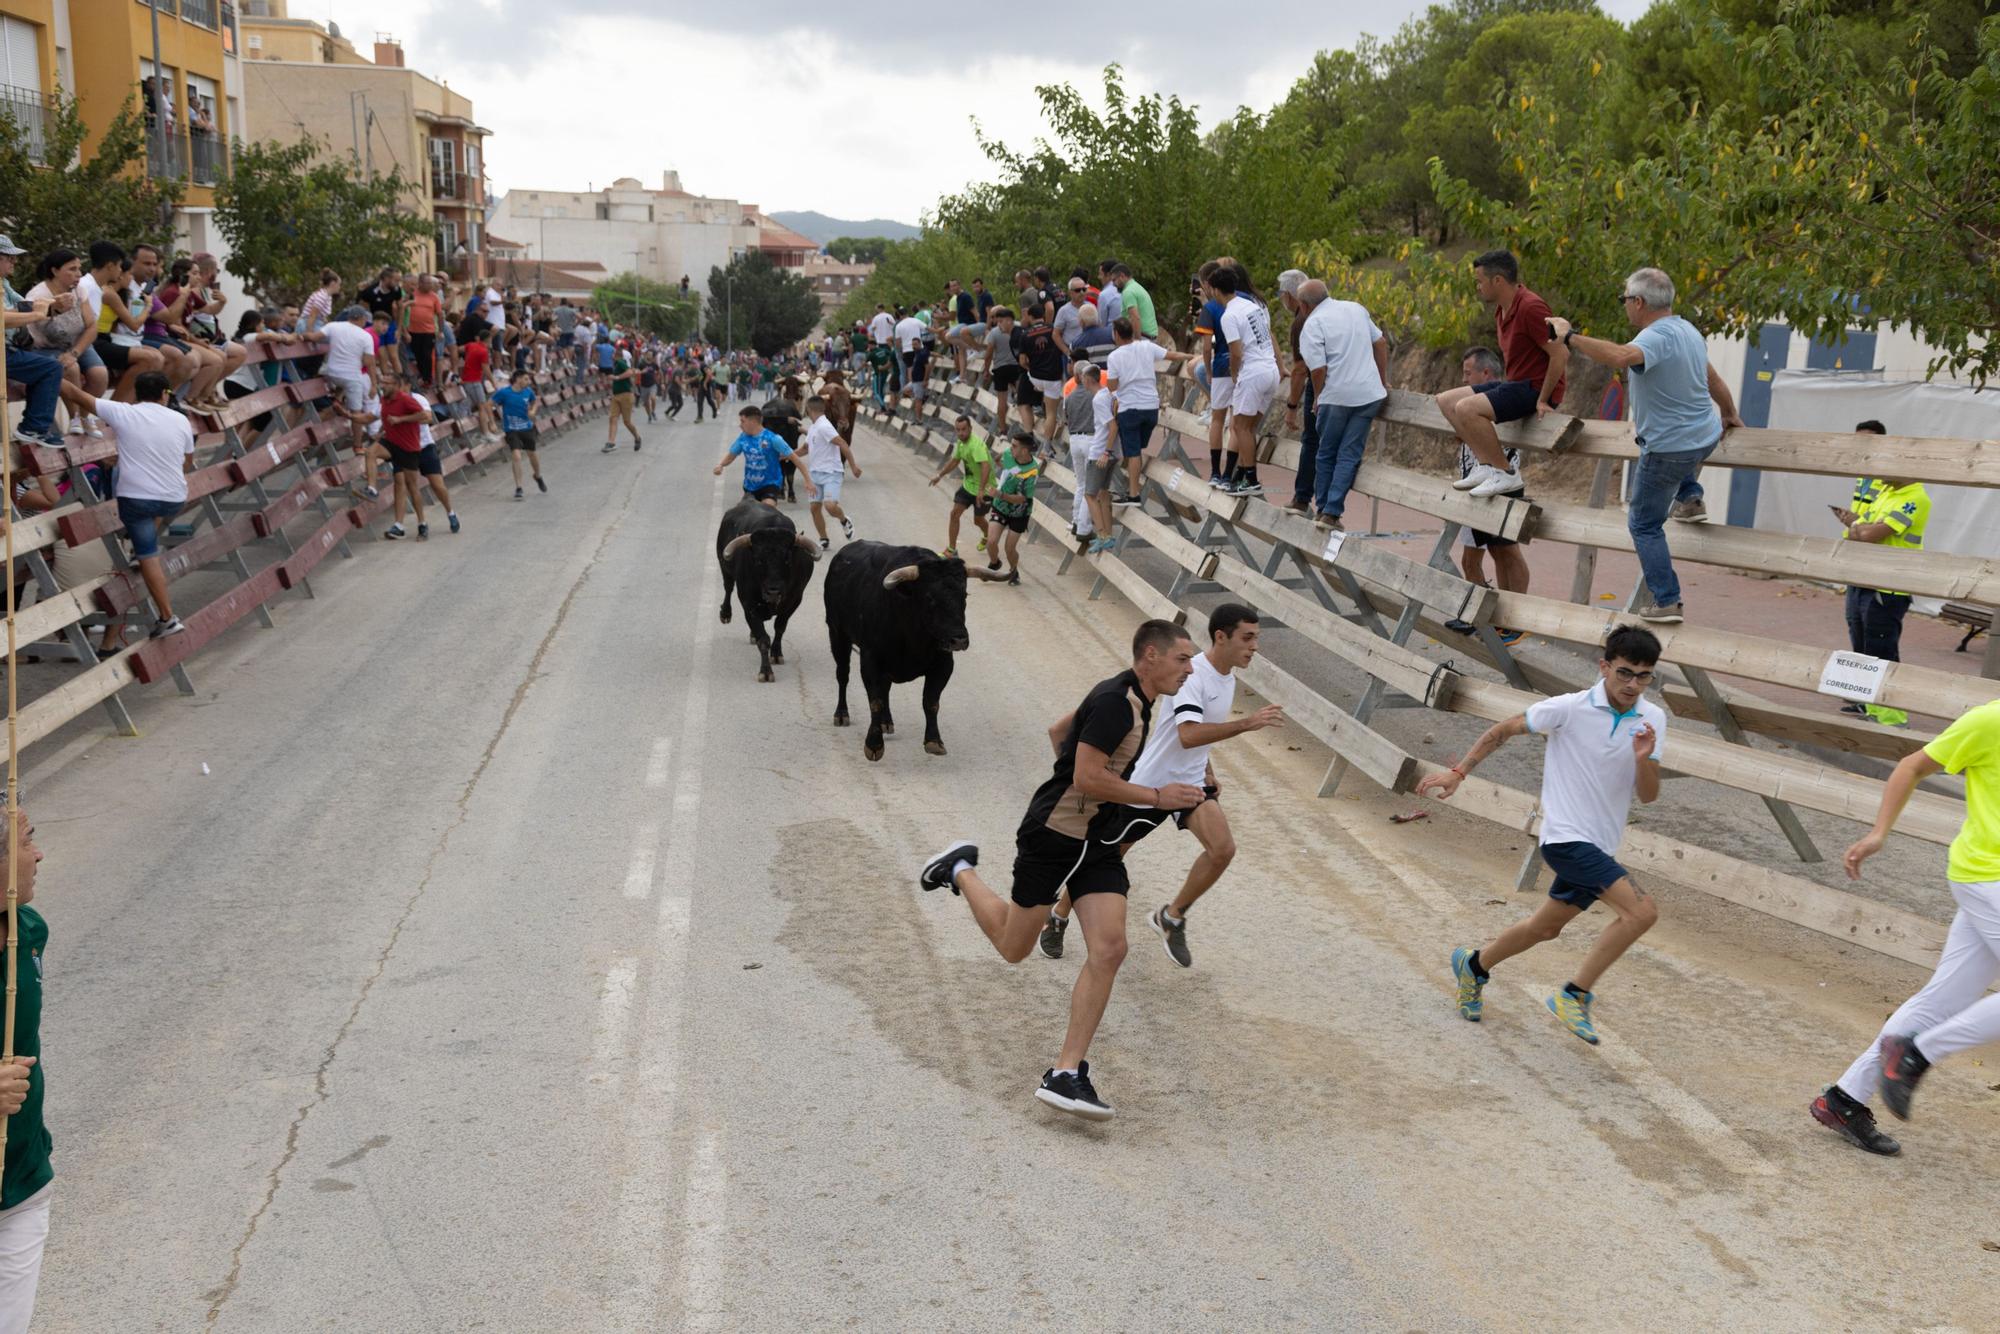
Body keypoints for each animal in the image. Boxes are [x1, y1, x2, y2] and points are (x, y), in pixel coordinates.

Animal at [712, 504, 820, 688]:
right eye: (758, 559)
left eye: (787, 559)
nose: (773, 591)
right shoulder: (749, 605)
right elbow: (763, 639)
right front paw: (766, 672)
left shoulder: (794, 601)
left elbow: (780, 627)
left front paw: (776, 653)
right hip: (724, 566)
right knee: (728, 587)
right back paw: (725, 614)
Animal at [820, 536, 1008, 756]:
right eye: (929, 598)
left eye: (965, 595)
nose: (959, 640)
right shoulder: (870, 660)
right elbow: (875, 701)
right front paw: (874, 745)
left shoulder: (944, 664)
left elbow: (930, 702)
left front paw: (934, 741)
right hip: (837, 634)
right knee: (843, 674)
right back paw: (842, 714)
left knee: (885, 687)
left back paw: (886, 722)